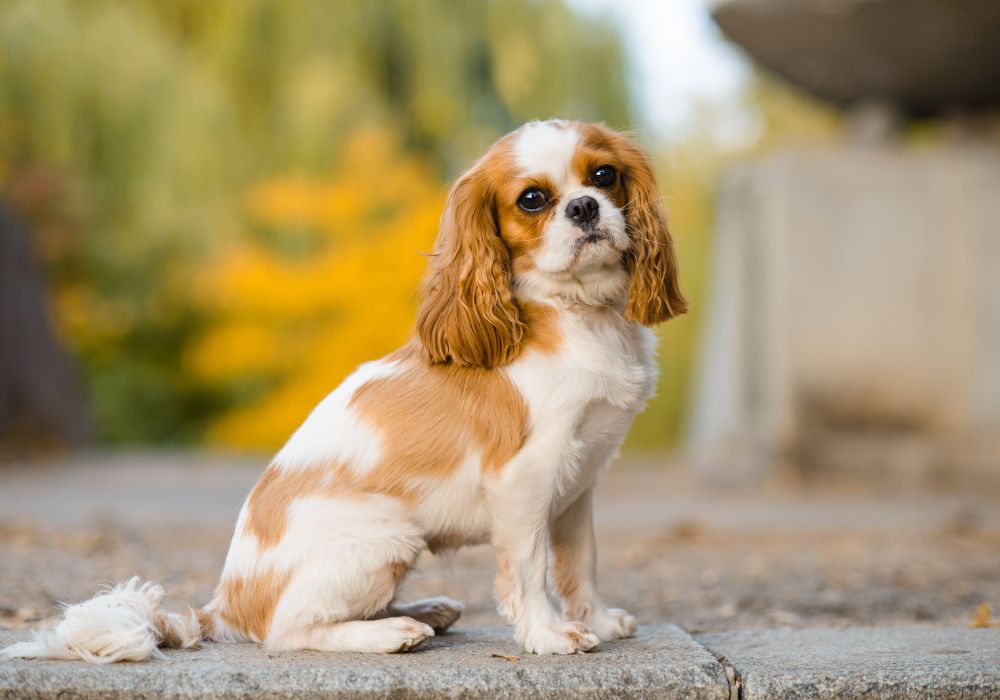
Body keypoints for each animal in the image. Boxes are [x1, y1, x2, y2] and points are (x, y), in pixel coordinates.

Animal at [0, 119, 684, 660]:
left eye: (604, 176)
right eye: (534, 199)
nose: (585, 208)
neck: (577, 315)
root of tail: (223, 607)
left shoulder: (576, 486)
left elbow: (580, 563)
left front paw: (598, 622)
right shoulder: (525, 481)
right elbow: (530, 569)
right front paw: (548, 635)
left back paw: (425, 611)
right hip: (387, 539)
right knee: (290, 631)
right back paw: (390, 633)